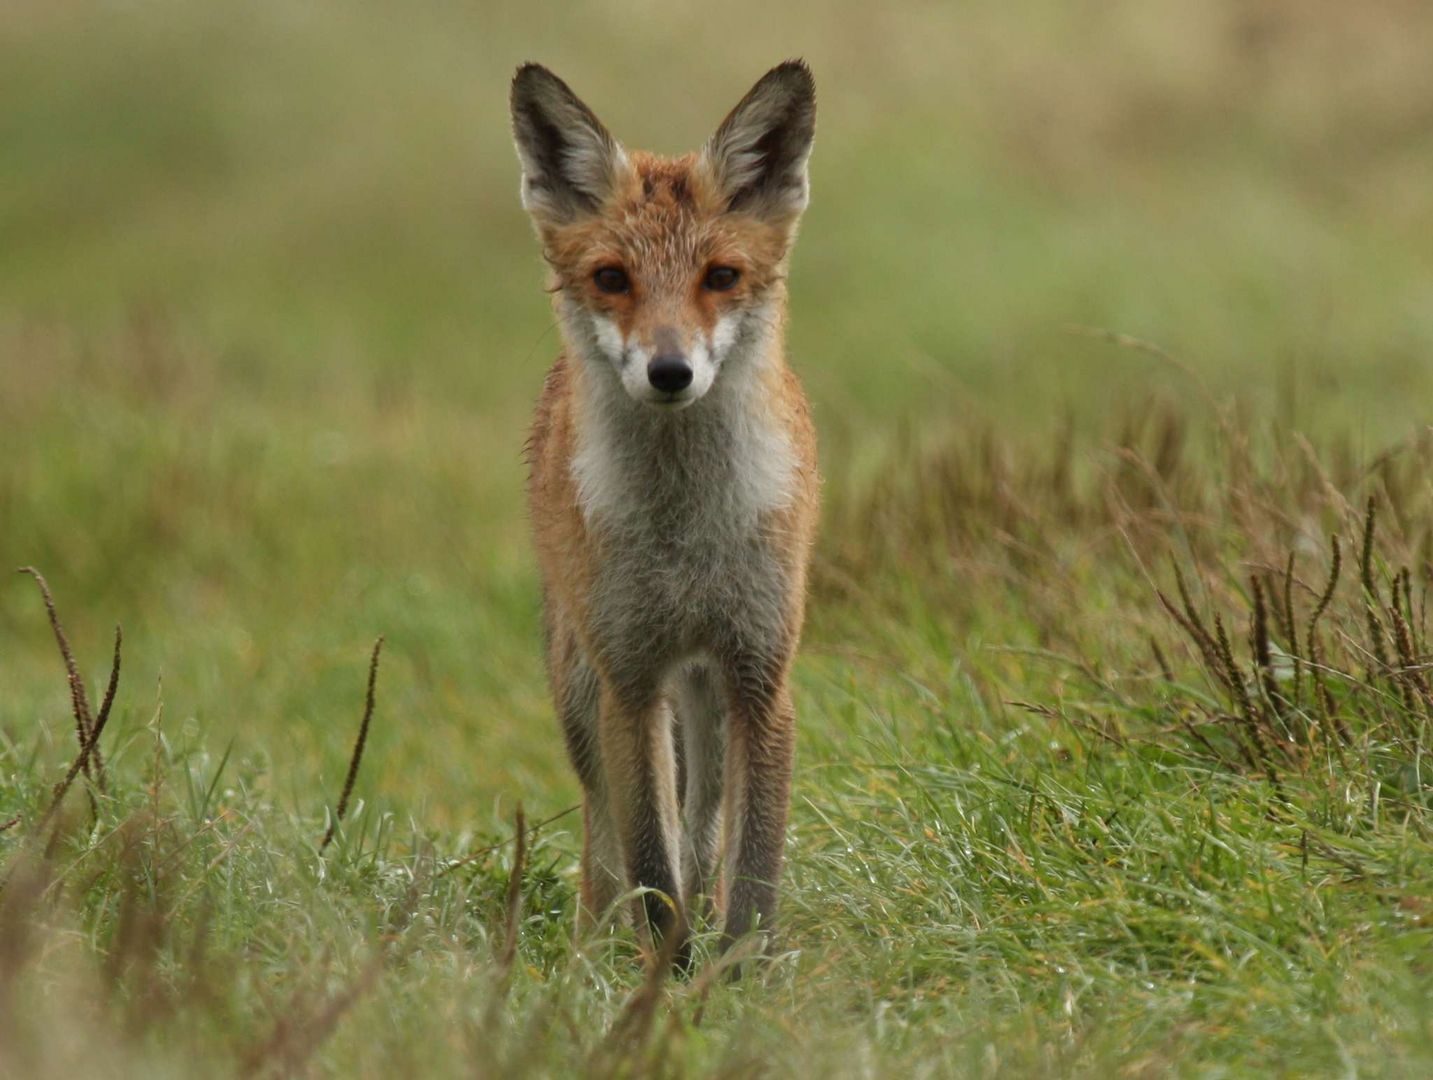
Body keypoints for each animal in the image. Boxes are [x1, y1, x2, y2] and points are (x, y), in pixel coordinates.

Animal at [510, 60, 825, 968]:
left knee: (702, 828)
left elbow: (749, 873)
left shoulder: (760, 675)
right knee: (604, 844)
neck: (685, 536)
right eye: (612, 279)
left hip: (706, 701)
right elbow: (650, 872)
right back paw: (591, 954)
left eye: (720, 276)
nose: (670, 371)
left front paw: (737, 978)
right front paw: (661, 983)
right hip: (581, 689)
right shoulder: (630, 679)